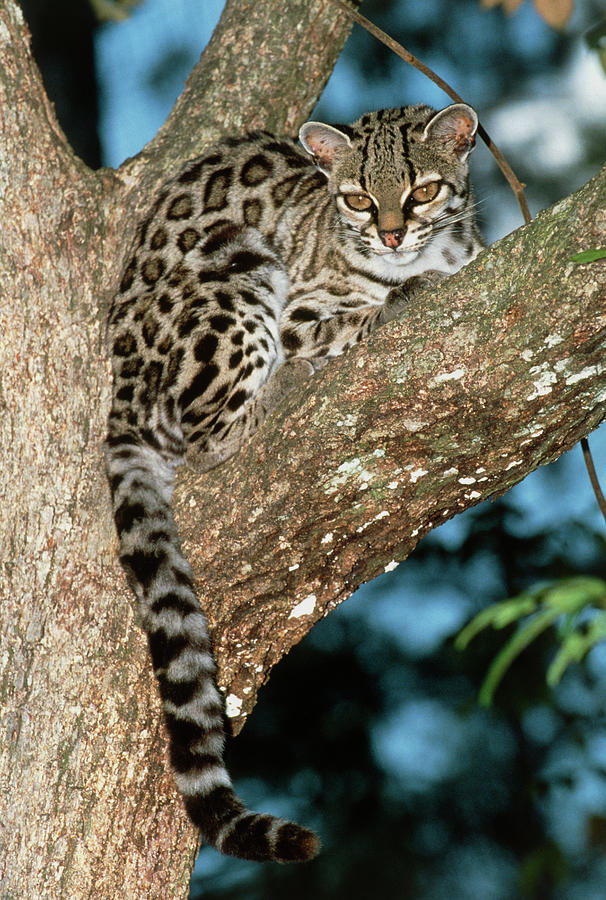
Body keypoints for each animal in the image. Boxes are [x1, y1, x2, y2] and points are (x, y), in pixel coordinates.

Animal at [104, 103, 484, 864]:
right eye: (359, 199)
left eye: (423, 191)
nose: (391, 236)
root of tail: (118, 405)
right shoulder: (299, 310)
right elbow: (353, 315)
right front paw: (400, 298)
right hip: (232, 269)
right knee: (208, 436)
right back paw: (279, 390)